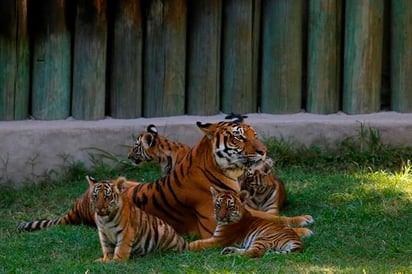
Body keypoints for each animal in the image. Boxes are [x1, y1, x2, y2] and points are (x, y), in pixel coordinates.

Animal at [16, 120, 312, 238]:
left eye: (255, 133)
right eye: (239, 137)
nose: (264, 151)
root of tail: (77, 205)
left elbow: (271, 217)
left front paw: (301, 220)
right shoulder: (214, 223)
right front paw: (302, 230)